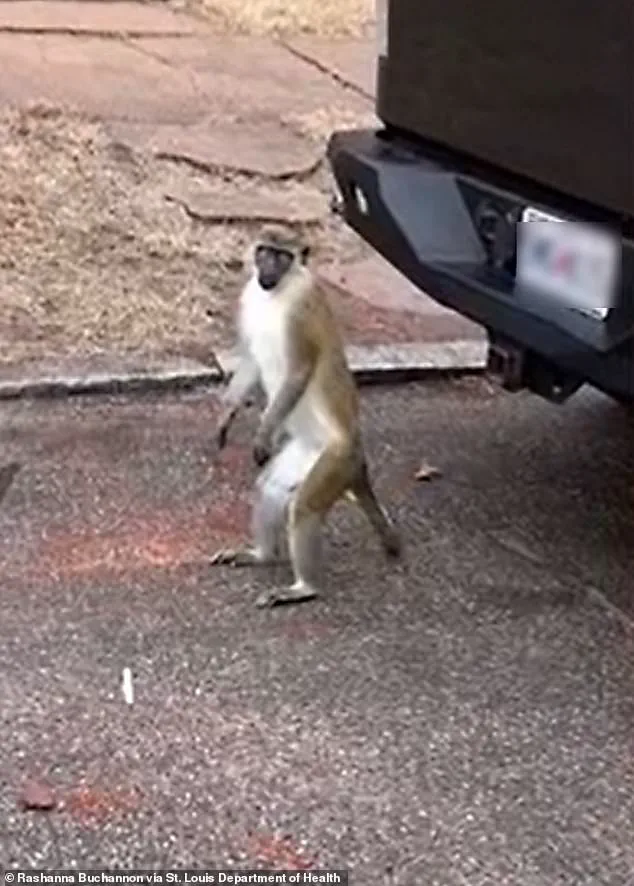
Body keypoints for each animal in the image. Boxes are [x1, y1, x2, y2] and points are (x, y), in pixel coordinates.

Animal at [210, 225, 401, 607]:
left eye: (282, 256)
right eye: (264, 251)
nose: (268, 270)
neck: (275, 294)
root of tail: (357, 453)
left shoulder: (302, 311)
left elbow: (298, 372)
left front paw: (264, 432)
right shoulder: (248, 298)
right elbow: (251, 359)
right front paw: (227, 413)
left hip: (336, 460)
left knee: (305, 508)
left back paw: (305, 588)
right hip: (307, 453)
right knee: (271, 488)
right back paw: (262, 555)